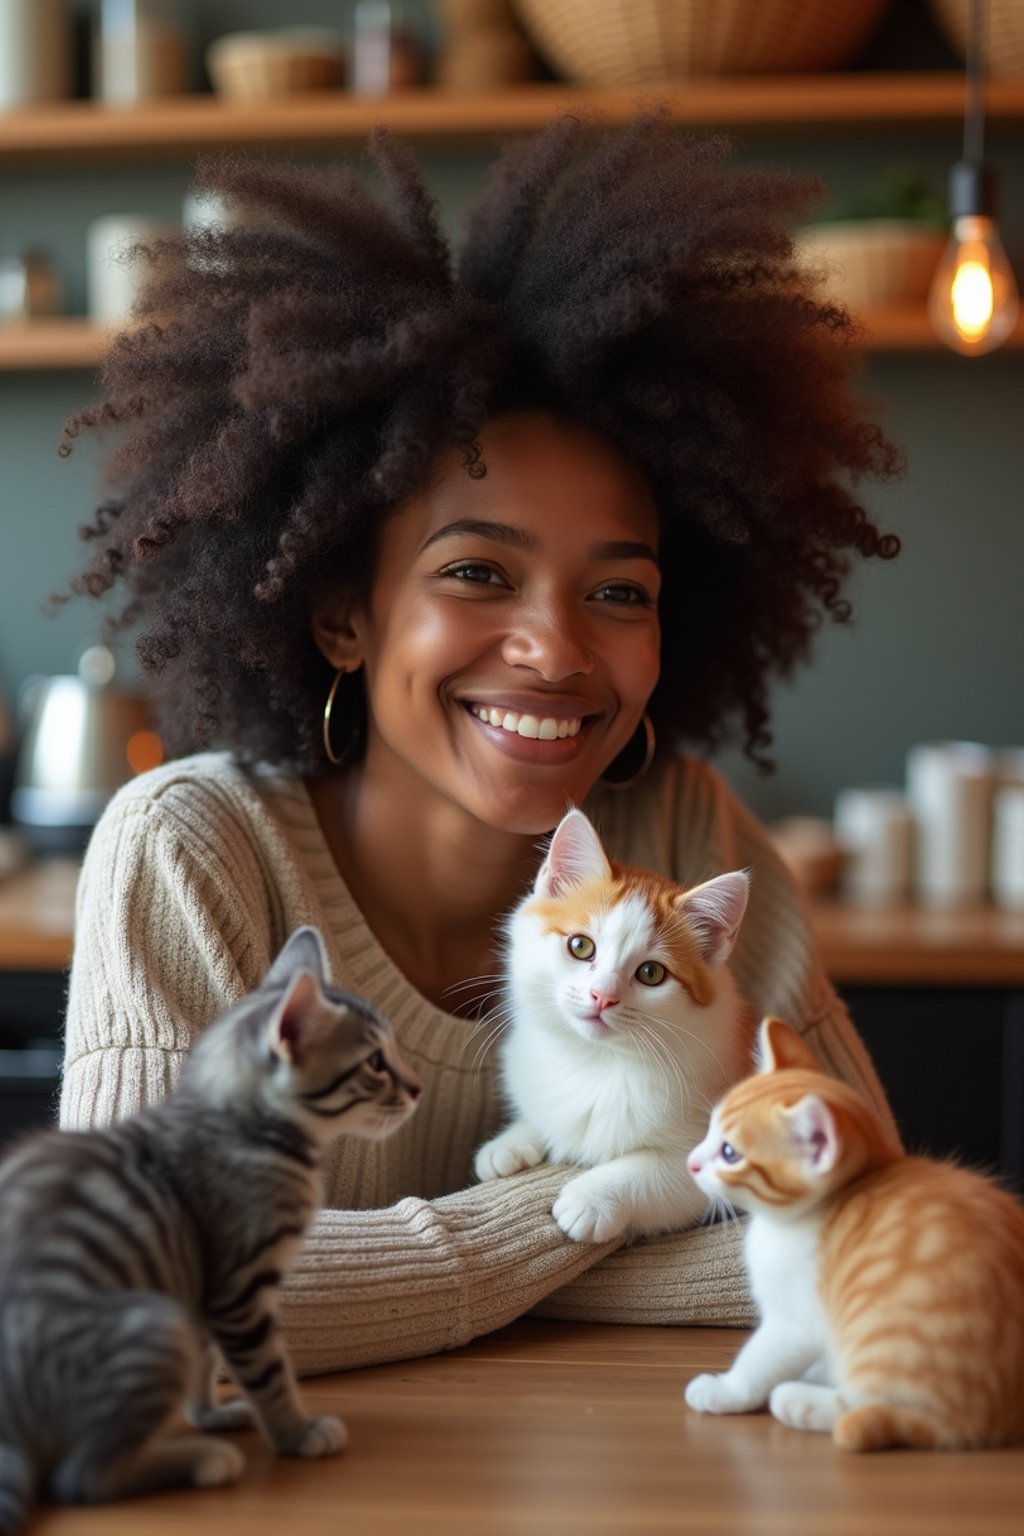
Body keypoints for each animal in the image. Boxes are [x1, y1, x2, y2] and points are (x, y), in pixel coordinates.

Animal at [0, 915, 420, 1529]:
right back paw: (201, 1460)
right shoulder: (238, 1288)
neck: (238, 1122)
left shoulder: (200, 1289)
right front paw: (296, 1432)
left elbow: (207, 1362)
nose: (417, 1088)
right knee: (81, 1479)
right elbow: (268, 1369)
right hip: (156, 1324)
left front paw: (210, 1414)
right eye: (375, 1063)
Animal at [472, 811, 752, 1241]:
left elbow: (656, 1172)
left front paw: (590, 1199)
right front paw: (511, 1142)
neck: (596, 1058)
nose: (602, 995)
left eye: (651, 973)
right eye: (580, 946)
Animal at [684, 1019, 1024, 1449]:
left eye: (730, 1153)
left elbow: (763, 1356)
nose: (691, 1163)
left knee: (907, 1418)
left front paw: (726, 1390)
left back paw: (801, 1401)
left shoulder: (796, 1312)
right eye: (710, 1129)